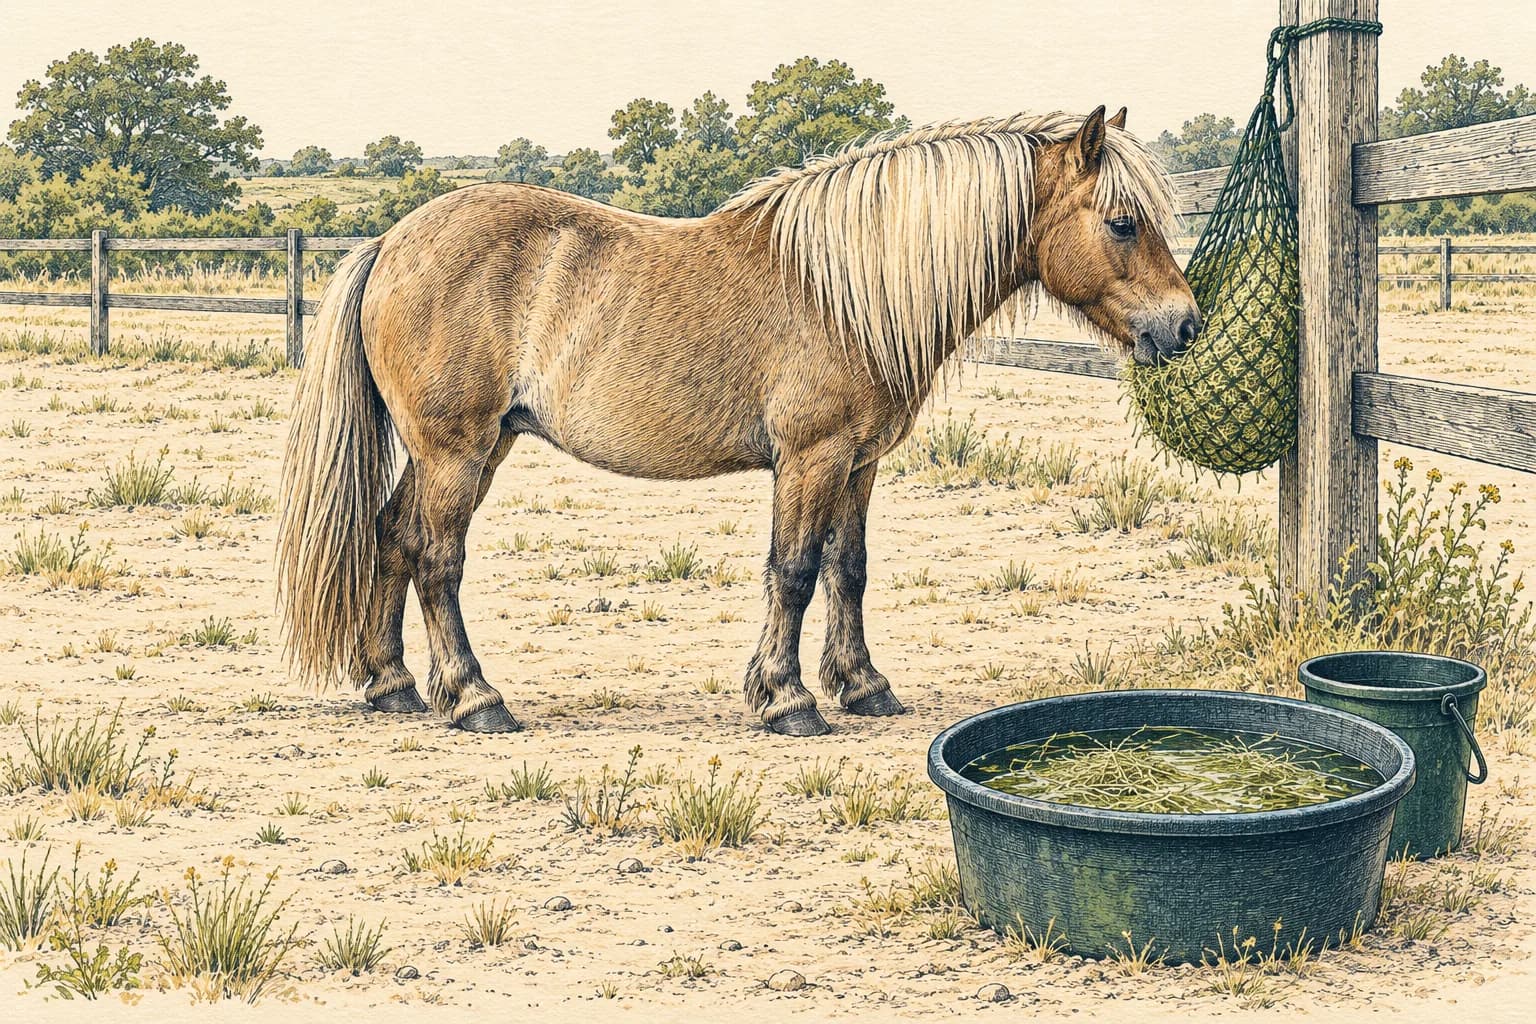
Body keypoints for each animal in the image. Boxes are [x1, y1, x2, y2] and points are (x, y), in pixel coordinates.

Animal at [277, 105, 1199, 737]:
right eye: (1123, 223)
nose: (1185, 326)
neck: (846, 291)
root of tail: (390, 244)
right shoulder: (811, 458)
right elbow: (793, 572)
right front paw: (787, 700)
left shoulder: (859, 463)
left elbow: (848, 571)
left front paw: (864, 687)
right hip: (456, 451)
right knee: (436, 560)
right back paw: (476, 699)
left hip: (472, 447)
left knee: (391, 538)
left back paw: (393, 685)